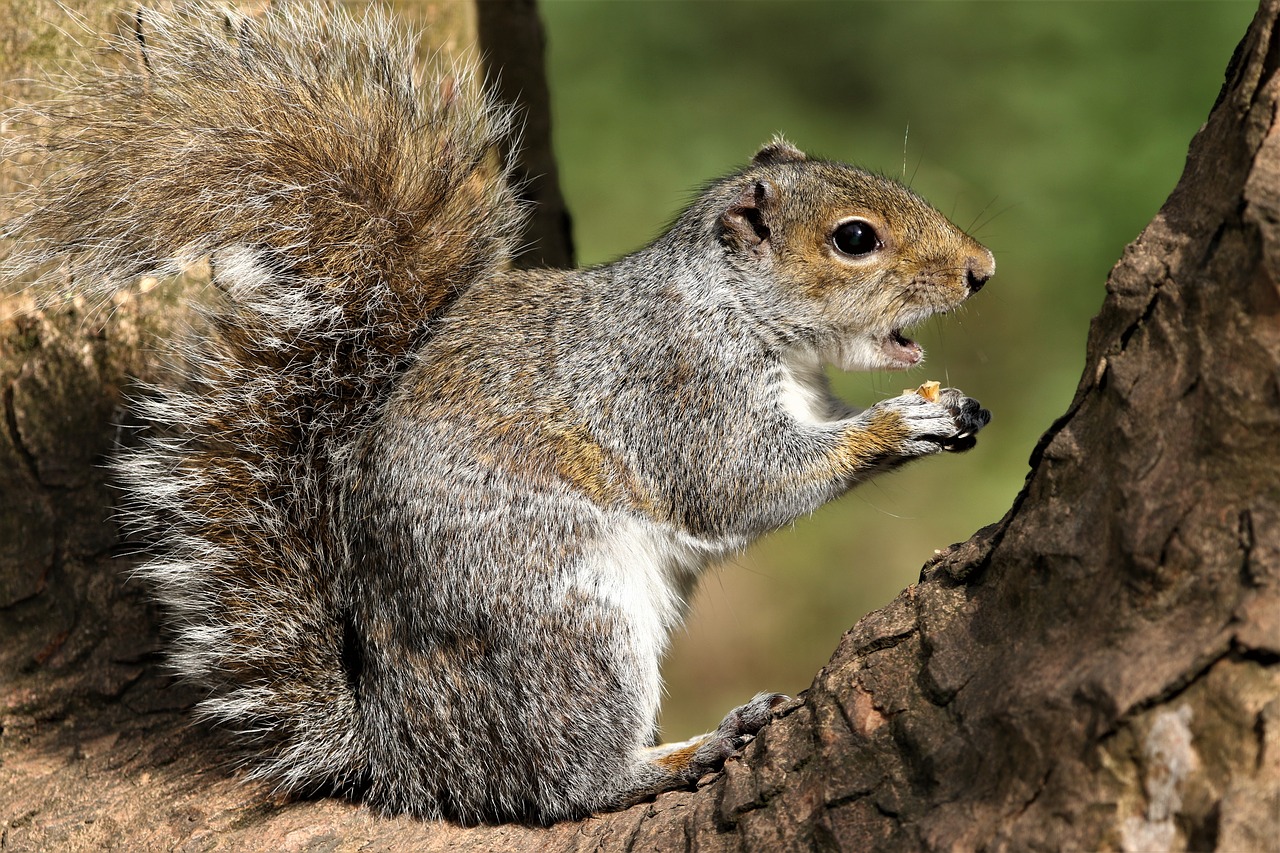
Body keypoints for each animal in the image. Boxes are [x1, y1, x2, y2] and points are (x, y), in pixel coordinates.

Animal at [0, 1, 993, 824]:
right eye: (854, 238)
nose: (981, 268)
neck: (738, 312)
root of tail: (405, 750)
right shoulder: (678, 388)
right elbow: (738, 486)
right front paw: (899, 424)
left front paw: (950, 411)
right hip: (570, 622)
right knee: (560, 784)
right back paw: (682, 752)